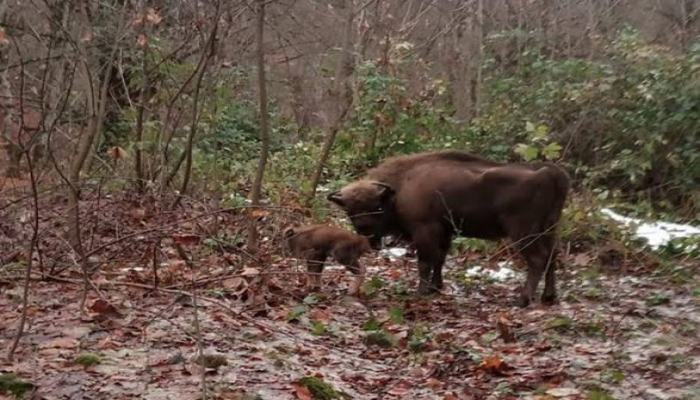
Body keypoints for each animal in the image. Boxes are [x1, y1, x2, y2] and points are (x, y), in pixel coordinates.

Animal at [326, 150, 568, 306]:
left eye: (376, 206)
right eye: (350, 210)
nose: (364, 228)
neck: (401, 186)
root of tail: (548, 172)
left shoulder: (424, 230)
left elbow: (425, 261)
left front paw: (422, 291)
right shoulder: (445, 232)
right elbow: (439, 259)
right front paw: (436, 288)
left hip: (523, 233)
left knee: (538, 259)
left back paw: (522, 300)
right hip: (549, 228)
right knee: (552, 256)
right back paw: (548, 297)